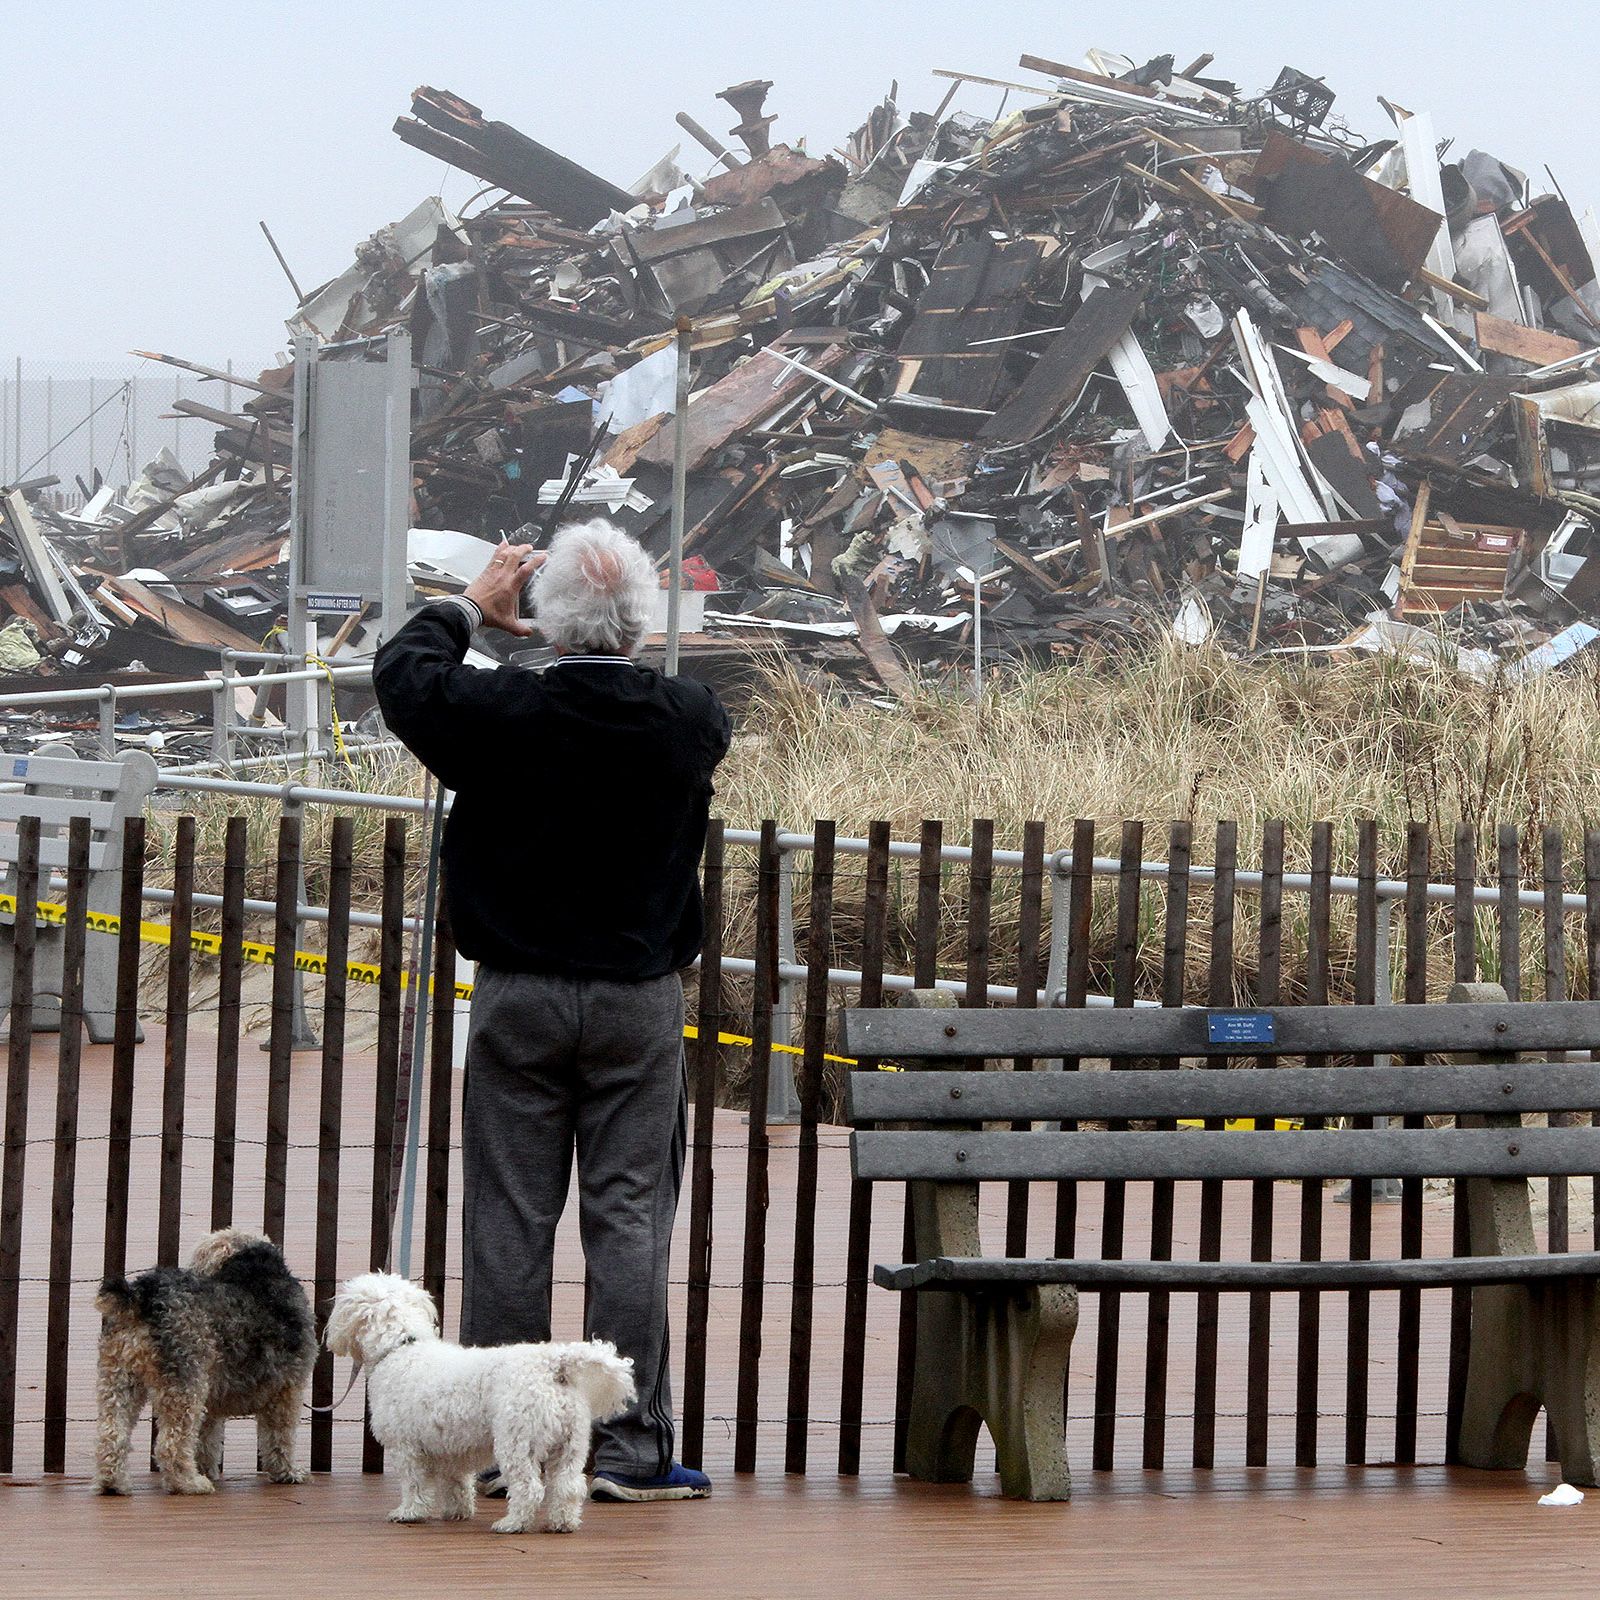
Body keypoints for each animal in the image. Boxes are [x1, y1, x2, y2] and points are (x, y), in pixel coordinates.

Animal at [94, 1222, 321, 1497]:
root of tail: (142, 1295)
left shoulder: (211, 1403)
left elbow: (206, 1441)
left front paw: (206, 1468)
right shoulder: (287, 1391)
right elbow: (280, 1438)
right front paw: (287, 1472)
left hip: (119, 1379)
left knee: (111, 1434)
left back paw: (113, 1483)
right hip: (184, 1387)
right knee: (170, 1444)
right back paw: (188, 1483)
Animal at [324, 1267, 630, 1529]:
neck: (402, 1347)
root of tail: (553, 1364)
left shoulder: (407, 1448)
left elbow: (414, 1484)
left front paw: (409, 1512)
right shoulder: (451, 1448)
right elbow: (457, 1484)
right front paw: (458, 1512)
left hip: (517, 1441)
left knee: (529, 1488)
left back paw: (512, 1524)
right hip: (570, 1445)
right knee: (568, 1487)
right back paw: (562, 1523)